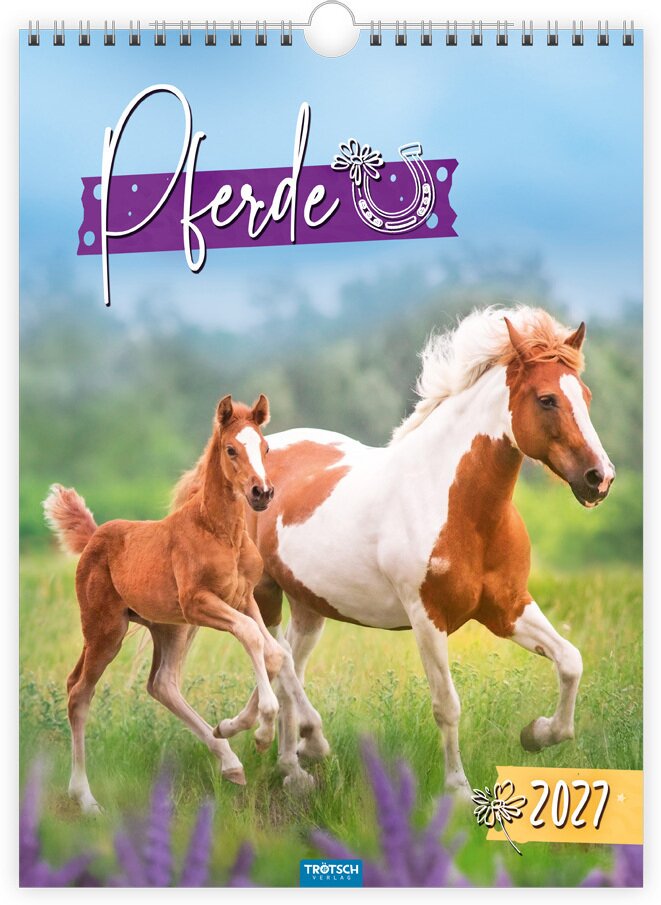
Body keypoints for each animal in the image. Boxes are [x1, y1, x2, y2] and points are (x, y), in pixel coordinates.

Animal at [43, 393, 320, 813]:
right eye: (231, 449)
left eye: (265, 448)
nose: (262, 493)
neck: (220, 533)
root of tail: (94, 537)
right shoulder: (199, 602)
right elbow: (253, 638)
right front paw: (262, 730)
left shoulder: (243, 598)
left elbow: (275, 652)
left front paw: (239, 726)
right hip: (106, 628)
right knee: (79, 692)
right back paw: (86, 799)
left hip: (169, 627)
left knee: (161, 684)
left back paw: (230, 762)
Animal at [172, 306, 615, 796]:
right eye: (546, 399)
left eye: (586, 395)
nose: (600, 478)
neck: (459, 507)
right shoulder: (427, 617)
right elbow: (447, 704)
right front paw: (458, 790)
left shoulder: (508, 608)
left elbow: (570, 661)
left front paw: (537, 734)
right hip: (264, 593)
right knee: (277, 658)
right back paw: (301, 739)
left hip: (309, 604)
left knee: (287, 661)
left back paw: (287, 762)